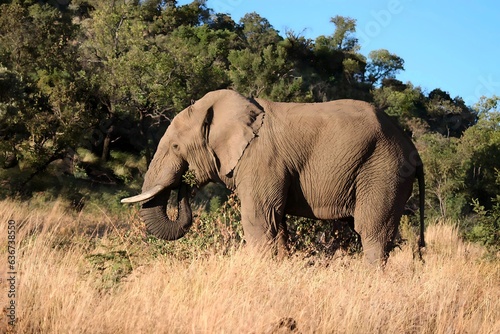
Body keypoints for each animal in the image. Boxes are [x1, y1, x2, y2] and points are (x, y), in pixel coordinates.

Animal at [122, 88, 426, 264]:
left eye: (175, 147)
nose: (185, 184)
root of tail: (412, 148)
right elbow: (275, 223)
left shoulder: (261, 158)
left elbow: (259, 220)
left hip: (384, 170)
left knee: (372, 233)